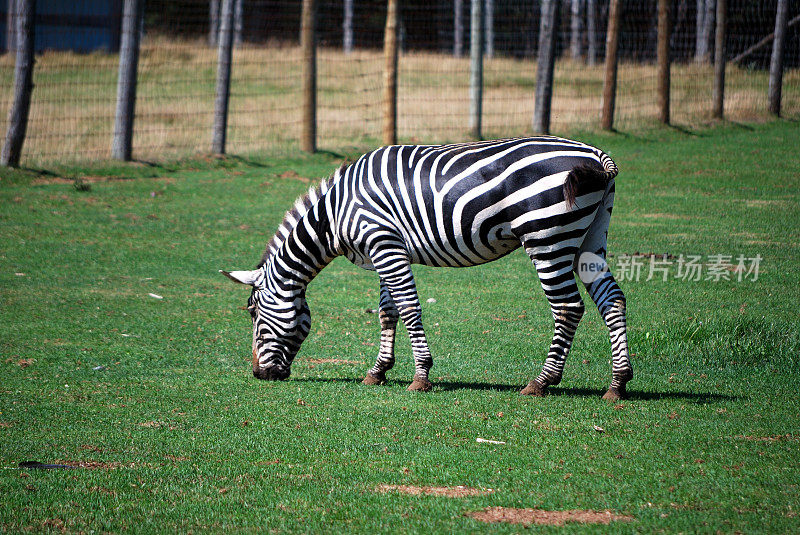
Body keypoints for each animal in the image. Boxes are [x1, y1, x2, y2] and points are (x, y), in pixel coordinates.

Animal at [222, 136, 636, 400]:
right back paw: (617, 384)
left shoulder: (384, 244)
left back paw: (541, 382)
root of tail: (596, 154)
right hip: (589, 235)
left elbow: (408, 308)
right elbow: (387, 312)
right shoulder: (382, 250)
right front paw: (378, 371)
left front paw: (421, 376)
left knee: (568, 307)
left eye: (252, 312)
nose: (258, 374)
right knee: (612, 299)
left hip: (547, 235)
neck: (335, 215)